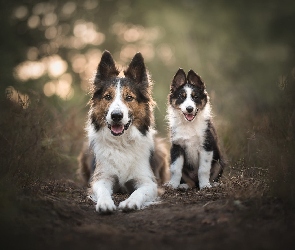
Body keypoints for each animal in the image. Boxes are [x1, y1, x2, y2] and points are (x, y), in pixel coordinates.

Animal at [82, 50, 169, 213]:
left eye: (129, 97)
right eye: (107, 97)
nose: (116, 115)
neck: (121, 143)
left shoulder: (147, 181)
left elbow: (139, 192)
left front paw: (130, 202)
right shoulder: (102, 177)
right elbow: (102, 191)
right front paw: (105, 203)